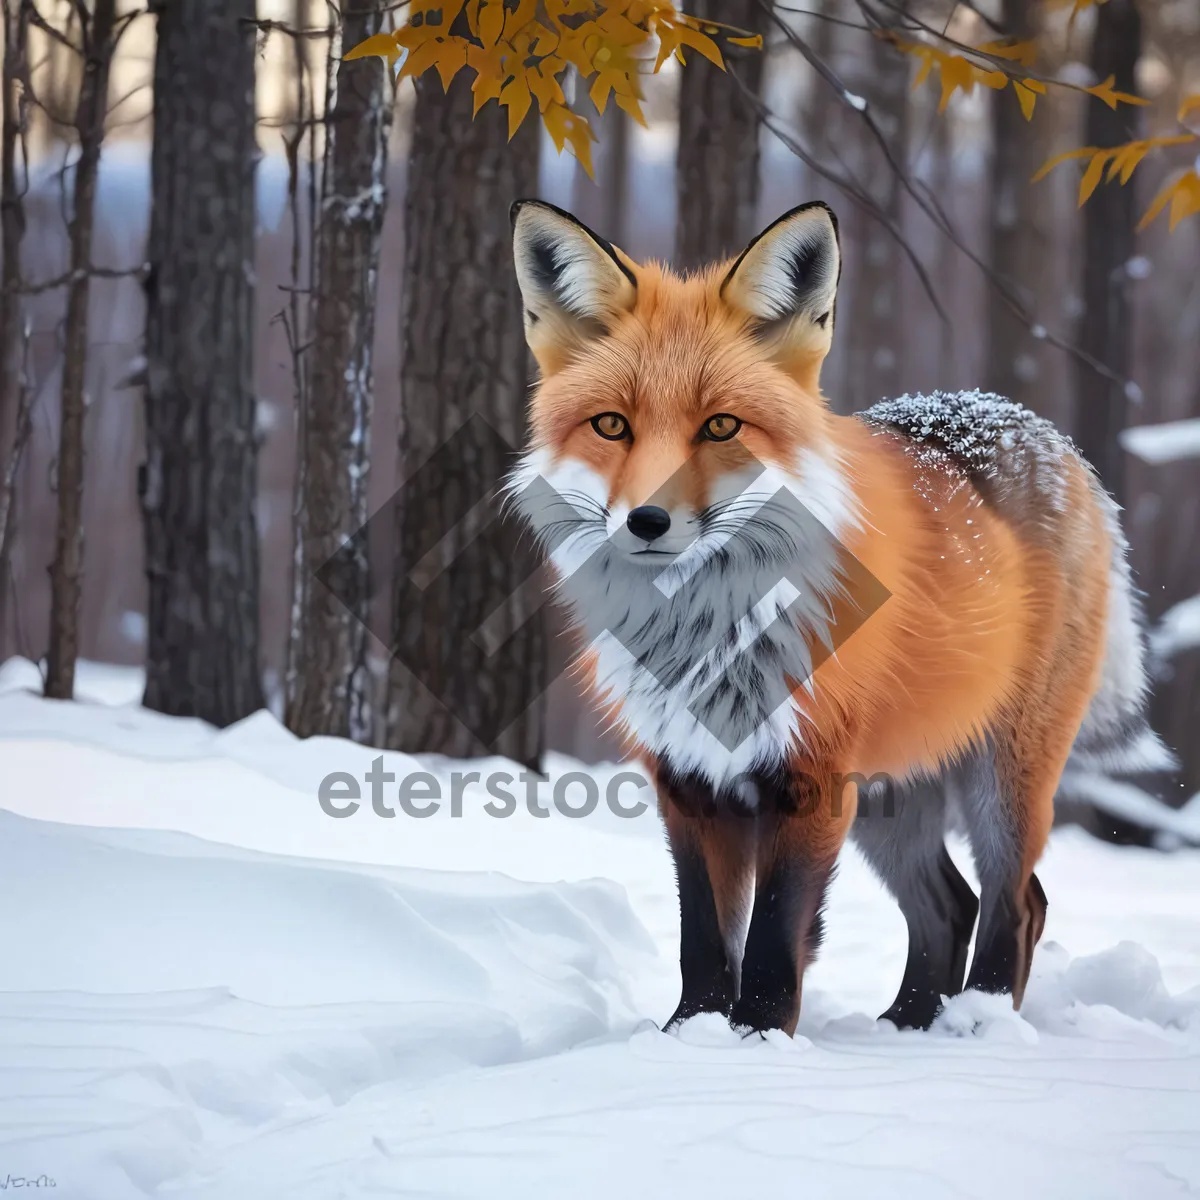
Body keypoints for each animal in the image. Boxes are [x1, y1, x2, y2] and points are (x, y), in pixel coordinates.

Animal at [506, 201, 1171, 1036]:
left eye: (721, 427)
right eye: (612, 426)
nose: (647, 522)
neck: (710, 633)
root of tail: (1046, 437)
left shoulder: (810, 777)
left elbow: (772, 935)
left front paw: (757, 1038)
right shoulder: (686, 779)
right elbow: (705, 937)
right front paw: (691, 1036)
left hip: (1002, 777)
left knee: (1017, 904)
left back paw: (977, 1022)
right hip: (891, 799)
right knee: (951, 906)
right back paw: (909, 1023)